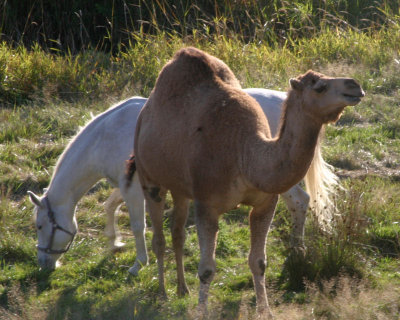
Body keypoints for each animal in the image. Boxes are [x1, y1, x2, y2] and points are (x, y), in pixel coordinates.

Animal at [28, 89, 340, 272]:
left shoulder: (135, 189)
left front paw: (139, 264)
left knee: (299, 201)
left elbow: (138, 225)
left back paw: (297, 248)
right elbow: (109, 205)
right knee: (302, 201)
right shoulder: (127, 183)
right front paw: (114, 242)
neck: (106, 136)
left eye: (41, 226)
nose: (43, 263)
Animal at [135, 45, 366, 318]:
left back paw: (182, 289)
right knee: (159, 238)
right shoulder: (206, 203)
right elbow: (206, 269)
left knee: (177, 232)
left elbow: (259, 262)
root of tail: (145, 114)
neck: (244, 155)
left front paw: (265, 310)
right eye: (319, 86)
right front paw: (202, 311)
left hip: (180, 188)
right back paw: (162, 293)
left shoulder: (265, 202)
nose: (355, 85)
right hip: (149, 178)